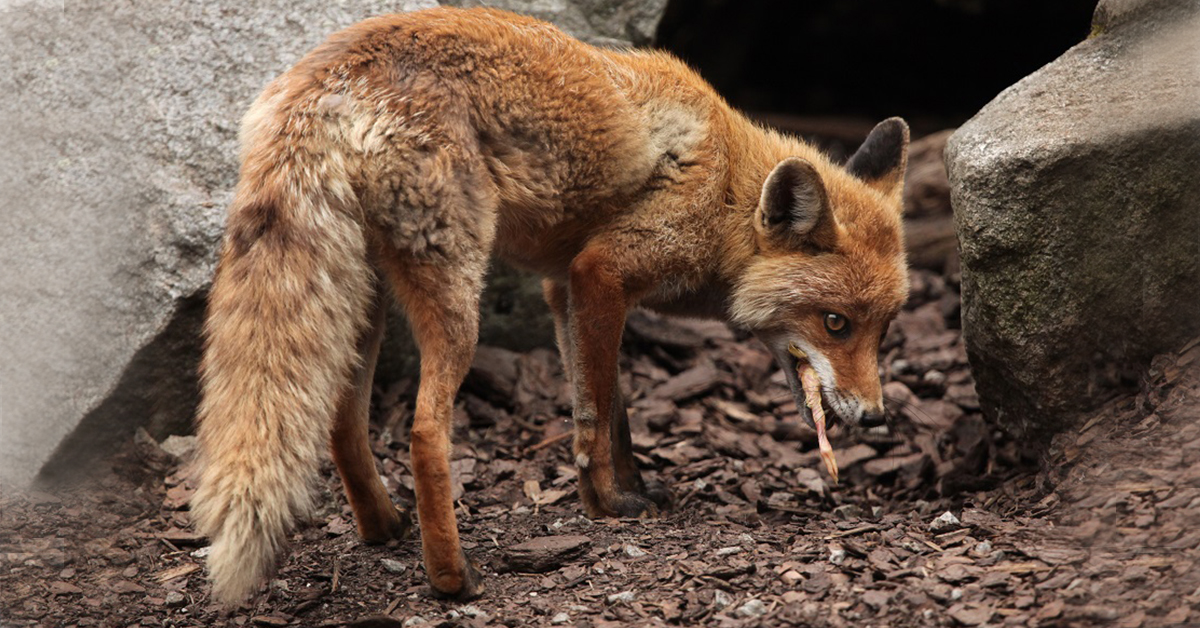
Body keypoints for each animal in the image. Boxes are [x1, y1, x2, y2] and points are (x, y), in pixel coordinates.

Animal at [192, 2, 907, 607]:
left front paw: (630, 489)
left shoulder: (566, 289)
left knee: (341, 419)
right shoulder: (602, 273)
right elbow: (592, 417)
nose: (876, 418)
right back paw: (452, 577)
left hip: (362, 294)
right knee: (424, 431)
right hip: (458, 295)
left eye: (883, 331)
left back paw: (381, 527)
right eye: (835, 323)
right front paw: (608, 506)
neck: (727, 185)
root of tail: (329, 76)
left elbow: (612, 409)